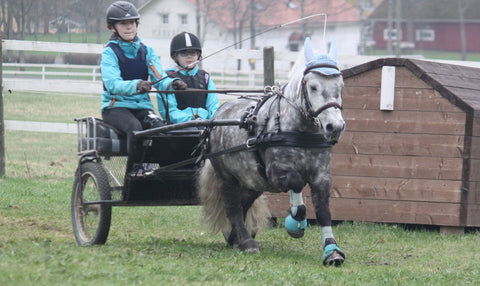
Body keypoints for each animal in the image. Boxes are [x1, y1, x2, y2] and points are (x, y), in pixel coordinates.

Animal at [198, 37, 344, 266]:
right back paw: (247, 242)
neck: (298, 129)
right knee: (232, 205)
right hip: (228, 177)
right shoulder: (276, 171)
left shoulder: (322, 175)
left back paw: (235, 237)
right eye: (313, 86)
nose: (335, 126)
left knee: (244, 203)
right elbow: (297, 186)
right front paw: (296, 224)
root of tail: (217, 115)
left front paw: (332, 250)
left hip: (253, 181)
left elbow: (323, 211)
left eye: (341, 85)